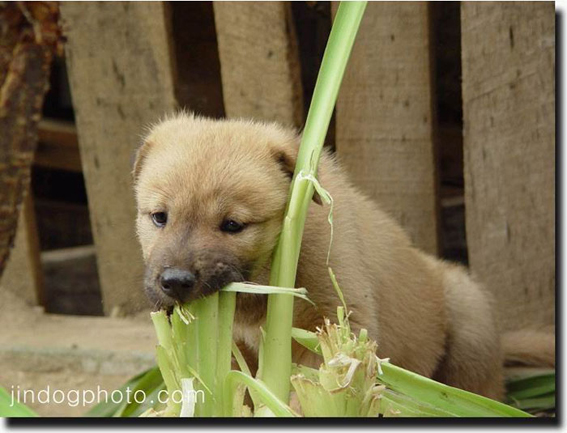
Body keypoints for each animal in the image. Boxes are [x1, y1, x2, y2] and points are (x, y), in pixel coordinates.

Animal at [133, 112, 505, 400]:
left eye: (233, 225)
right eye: (159, 217)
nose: (174, 281)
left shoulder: (332, 328)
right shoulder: (234, 350)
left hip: (468, 315)